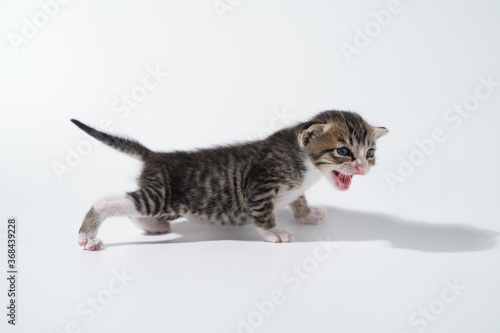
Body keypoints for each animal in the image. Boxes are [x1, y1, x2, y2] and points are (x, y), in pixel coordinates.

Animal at [72, 110, 388, 250]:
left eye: (370, 153)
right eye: (343, 151)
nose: (362, 167)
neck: (305, 164)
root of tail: (155, 156)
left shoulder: (294, 188)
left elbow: (299, 199)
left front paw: (307, 215)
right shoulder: (260, 185)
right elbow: (263, 212)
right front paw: (273, 233)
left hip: (165, 201)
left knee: (132, 209)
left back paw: (153, 227)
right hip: (163, 196)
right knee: (107, 201)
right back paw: (87, 236)